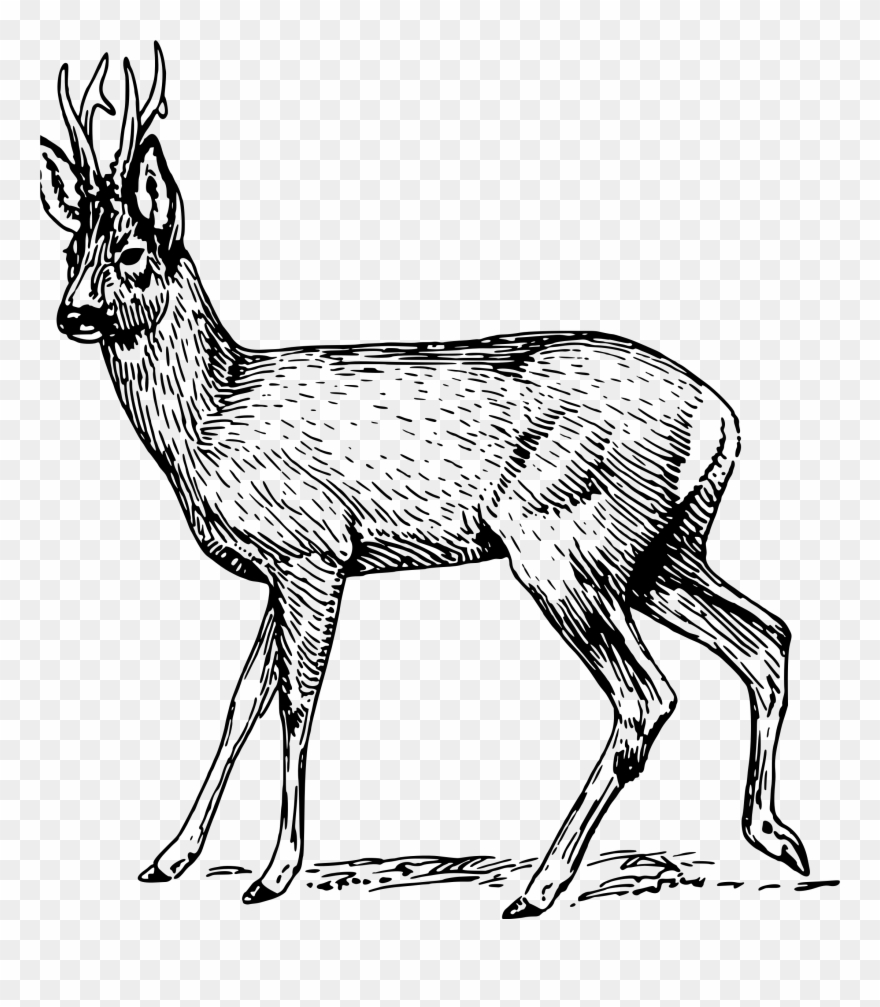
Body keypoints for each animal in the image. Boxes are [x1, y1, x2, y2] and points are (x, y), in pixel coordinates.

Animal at [39, 45, 809, 917]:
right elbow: (243, 698)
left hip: (566, 541)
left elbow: (297, 700)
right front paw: (171, 855)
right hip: (662, 550)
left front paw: (275, 871)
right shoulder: (277, 569)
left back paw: (542, 883)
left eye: (133, 251)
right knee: (765, 636)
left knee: (647, 694)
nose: (73, 313)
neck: (214, 411)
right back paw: (775, 836)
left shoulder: (314, 551)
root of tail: (723, 418)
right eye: (70, 251)